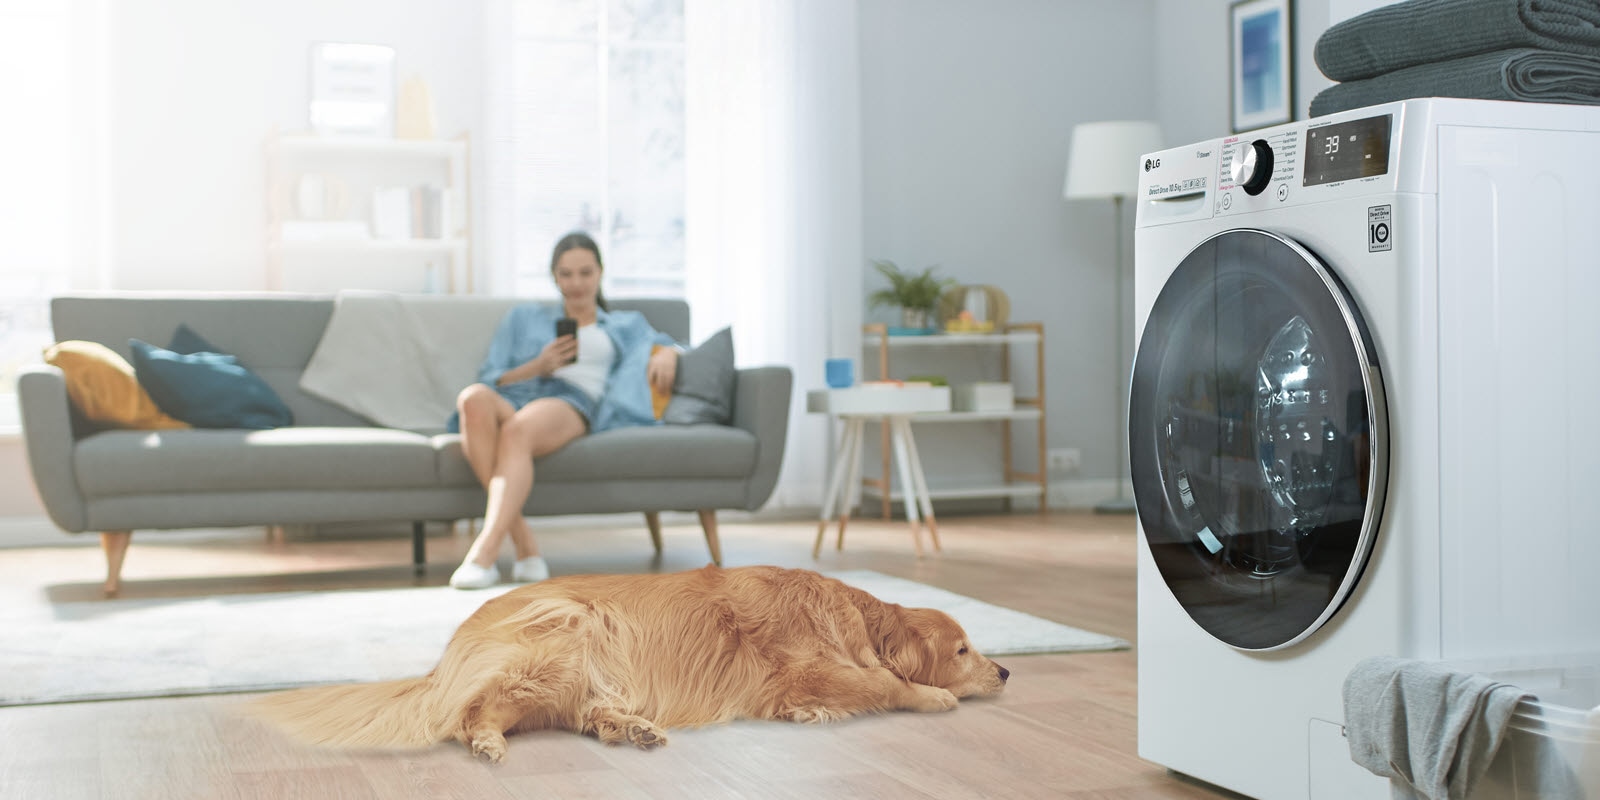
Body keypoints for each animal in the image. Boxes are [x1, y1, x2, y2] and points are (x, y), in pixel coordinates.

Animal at [248, 566, 1004, 758]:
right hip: (569, 631)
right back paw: (488, 741)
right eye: (963, 649)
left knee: (584, 714)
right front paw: (930, 695)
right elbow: (881, 681)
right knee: (472, 711)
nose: (1005, 671)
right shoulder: (799, 670)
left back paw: (631, 728)